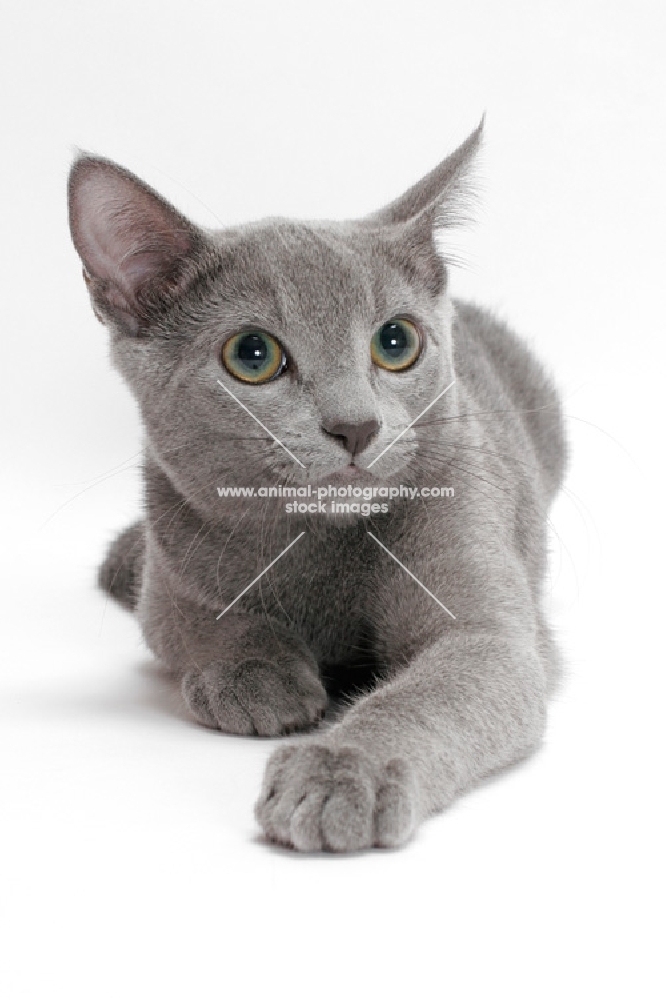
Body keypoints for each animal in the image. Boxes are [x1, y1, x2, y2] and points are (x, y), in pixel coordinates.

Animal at [67, 119, 564, 852]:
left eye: (397, 342)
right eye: (252, 355)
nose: (355, 426)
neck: (319, 540)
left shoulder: (487, 627)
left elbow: (429, 693)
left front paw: (339, 773)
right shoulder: (170, 573)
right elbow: (204, 620)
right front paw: (257, 676)